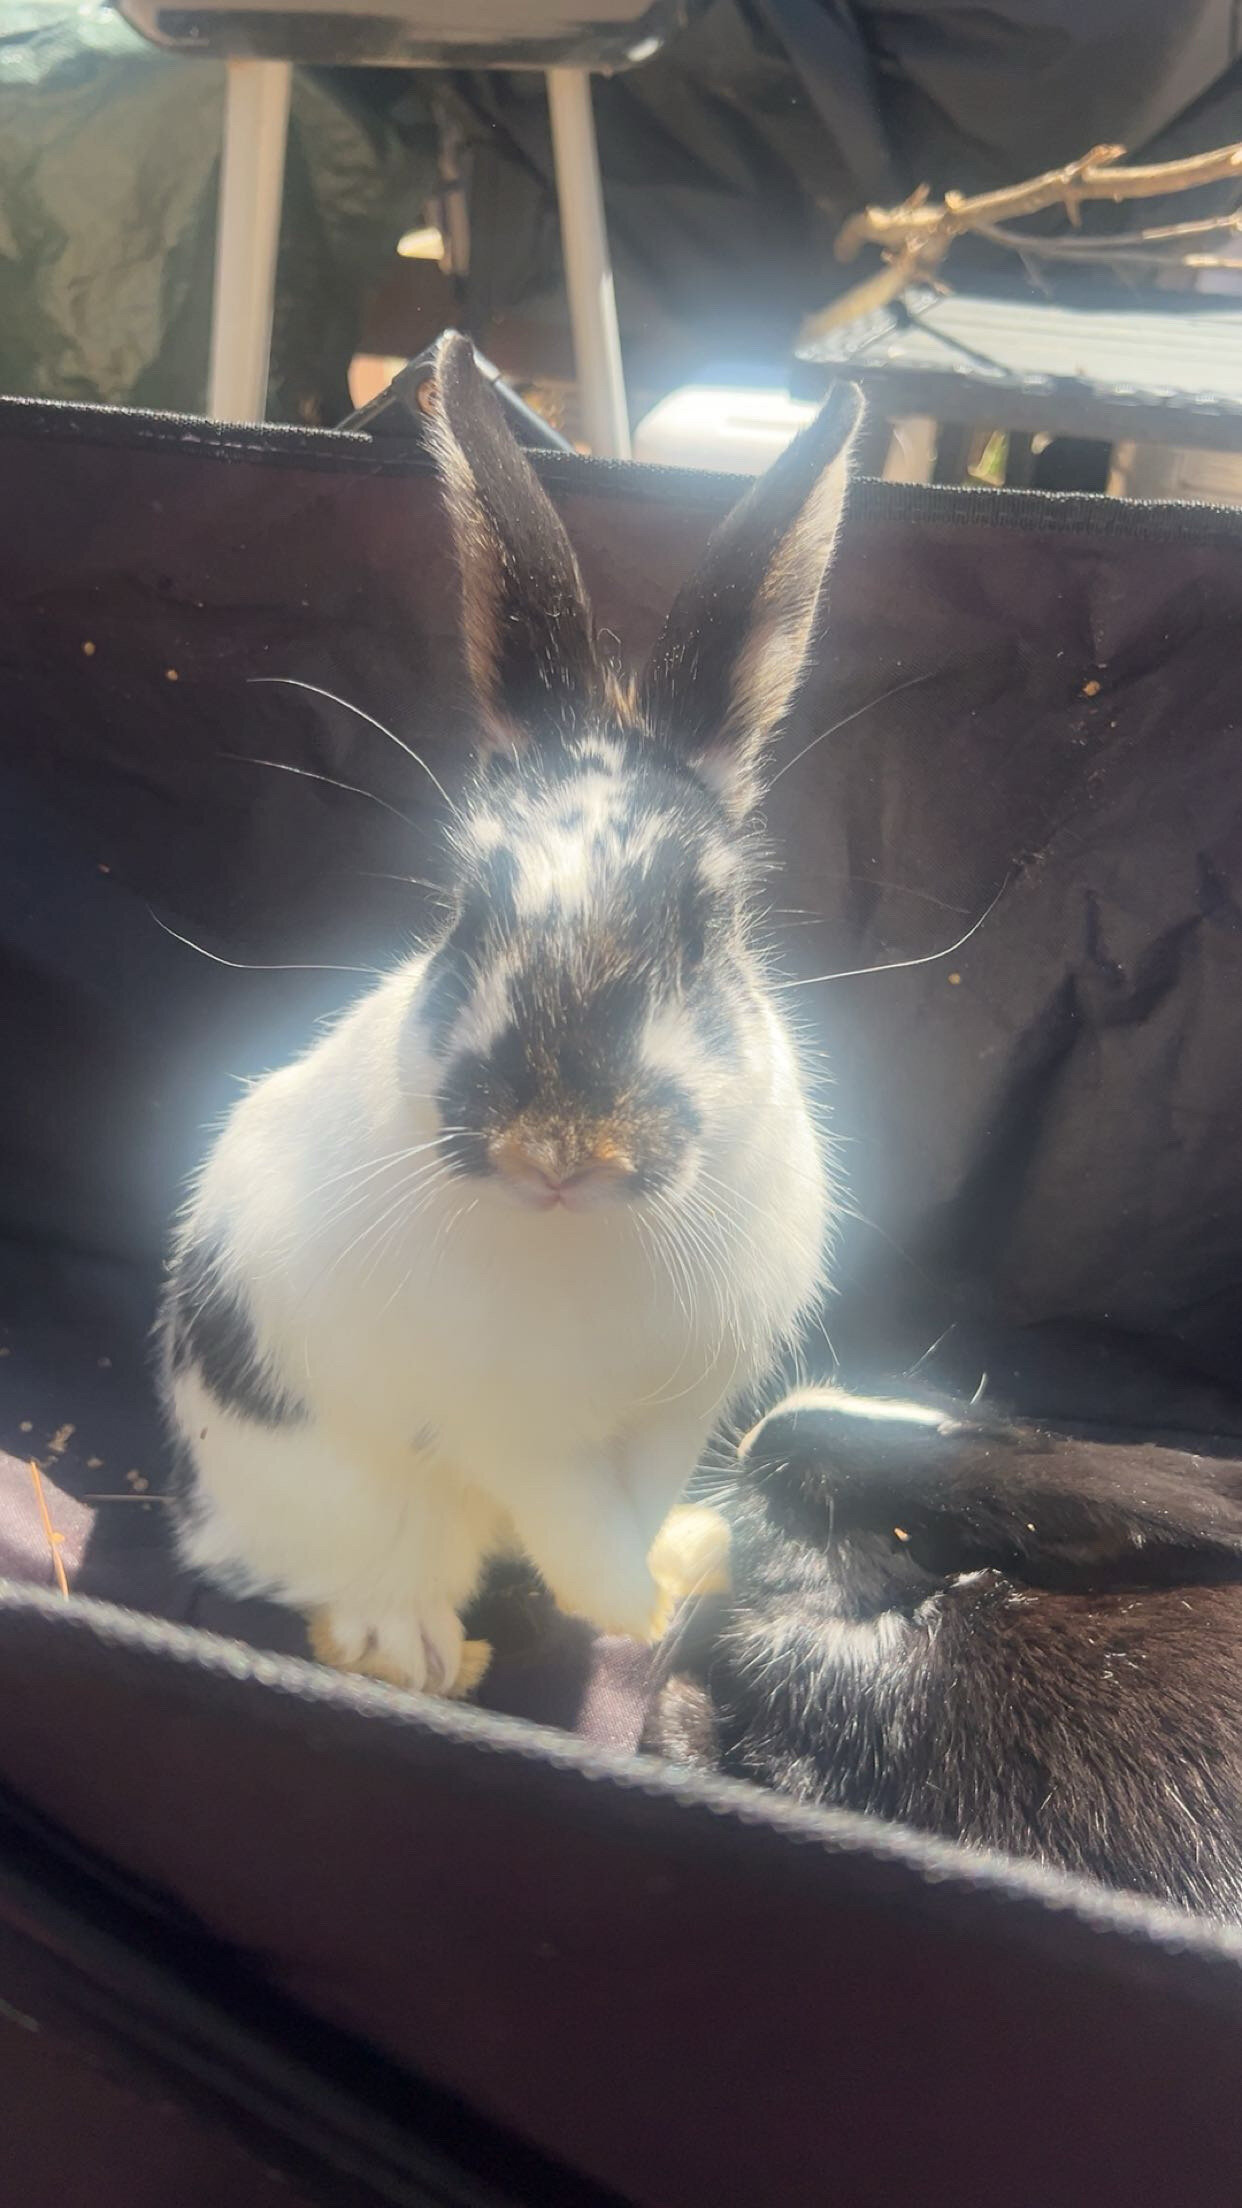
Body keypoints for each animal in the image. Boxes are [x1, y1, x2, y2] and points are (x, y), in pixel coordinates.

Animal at [159, 334, 863, 1696]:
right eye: (464, 910)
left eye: (708, 922)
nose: (554, 1147)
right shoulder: (509, 1431)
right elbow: (576, 1523)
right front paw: (625, 1607)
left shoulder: (678, 1405)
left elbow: (630, 1507)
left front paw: (649, 1592)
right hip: (337, 1495)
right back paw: (414, 1653)